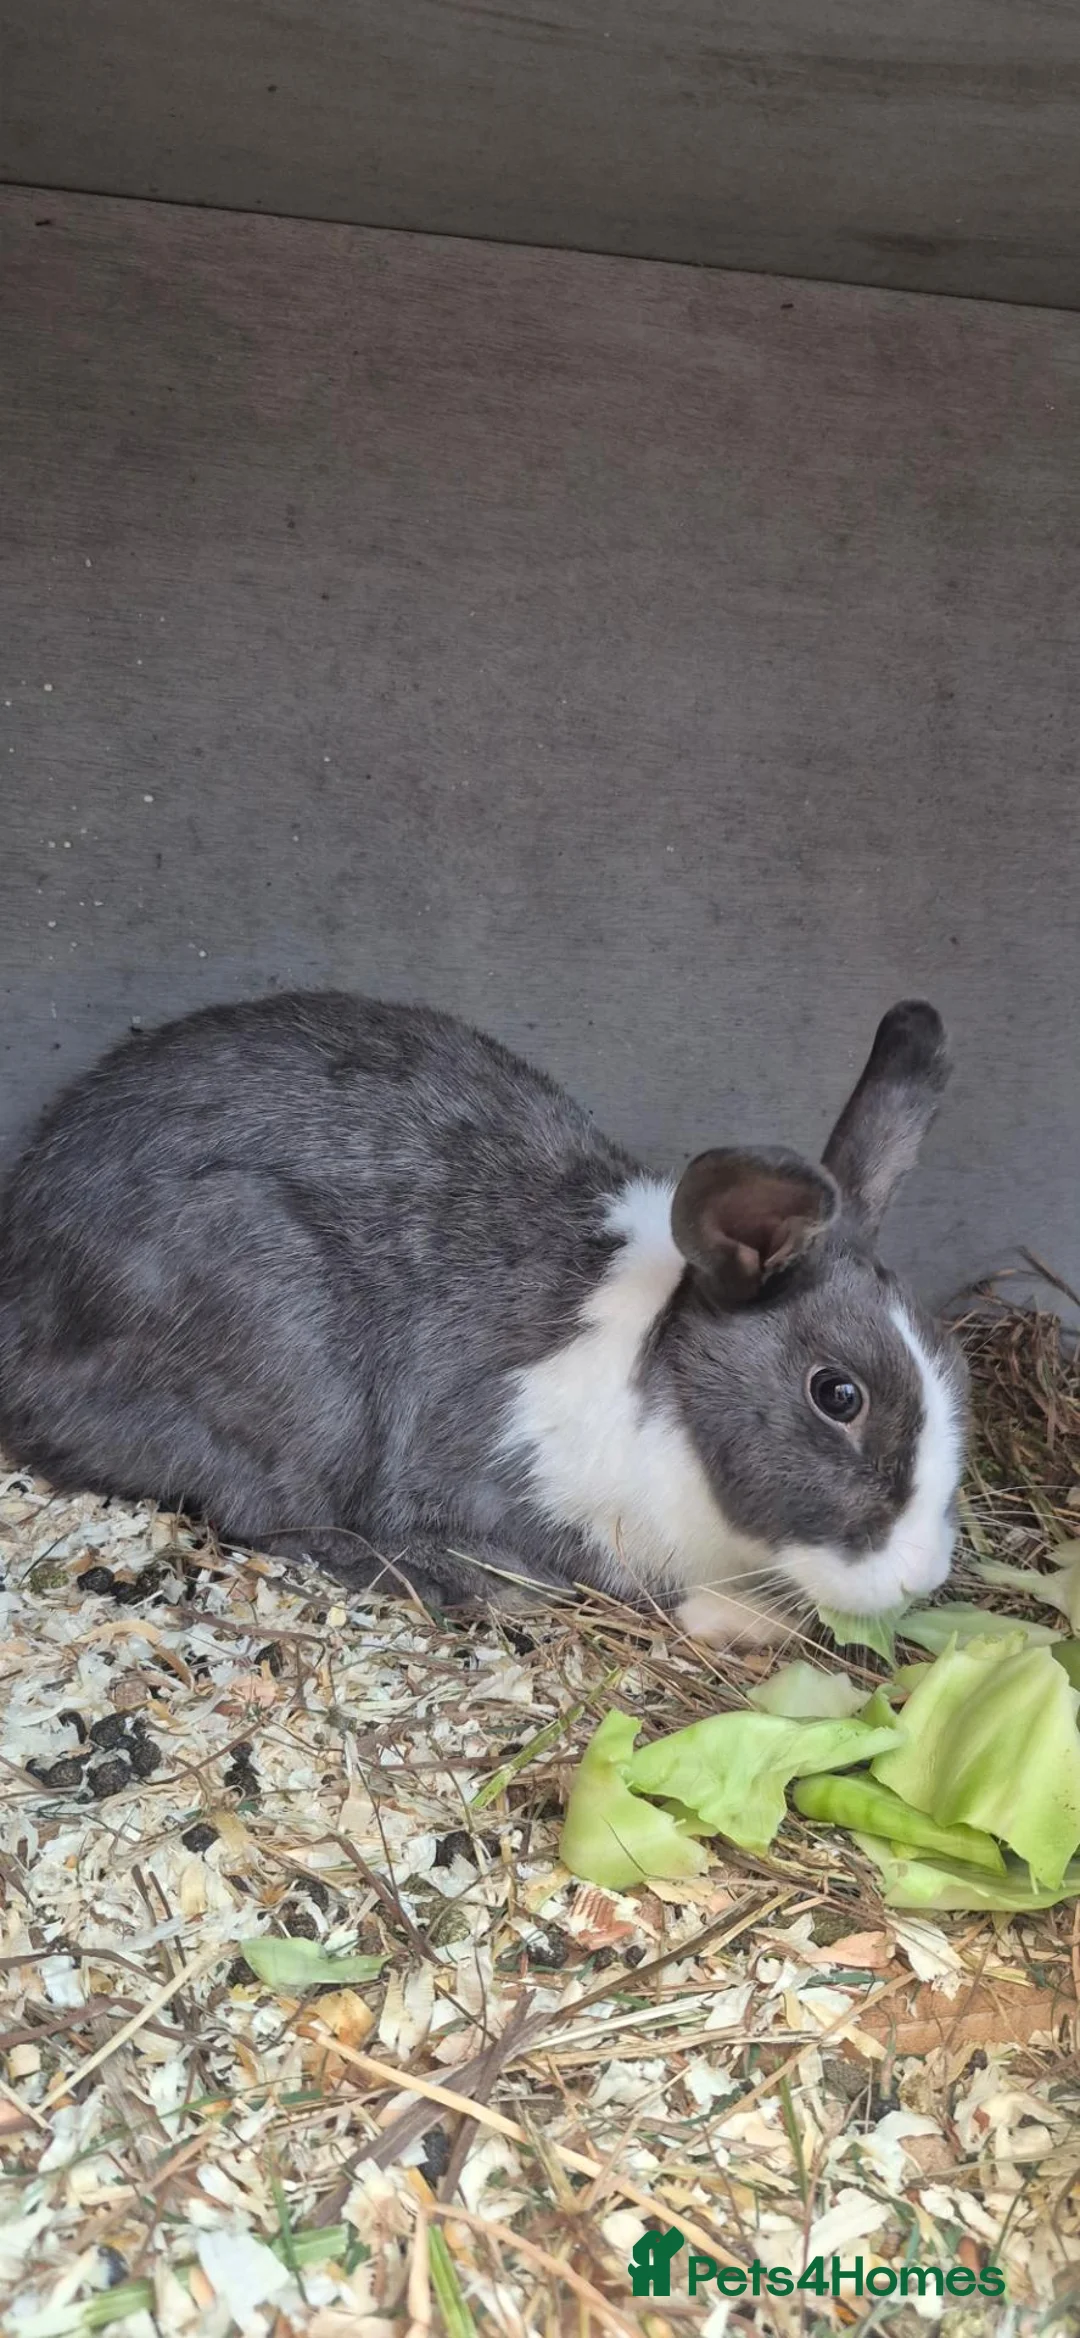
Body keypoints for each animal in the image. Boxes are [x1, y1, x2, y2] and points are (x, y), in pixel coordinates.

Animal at [0, 990, 967, 1646]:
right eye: (837, 1395)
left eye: (953, 1368)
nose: (922, 1578)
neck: (664, 1403)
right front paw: (742, 1618)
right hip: (289, 1357)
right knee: (270, 1515)